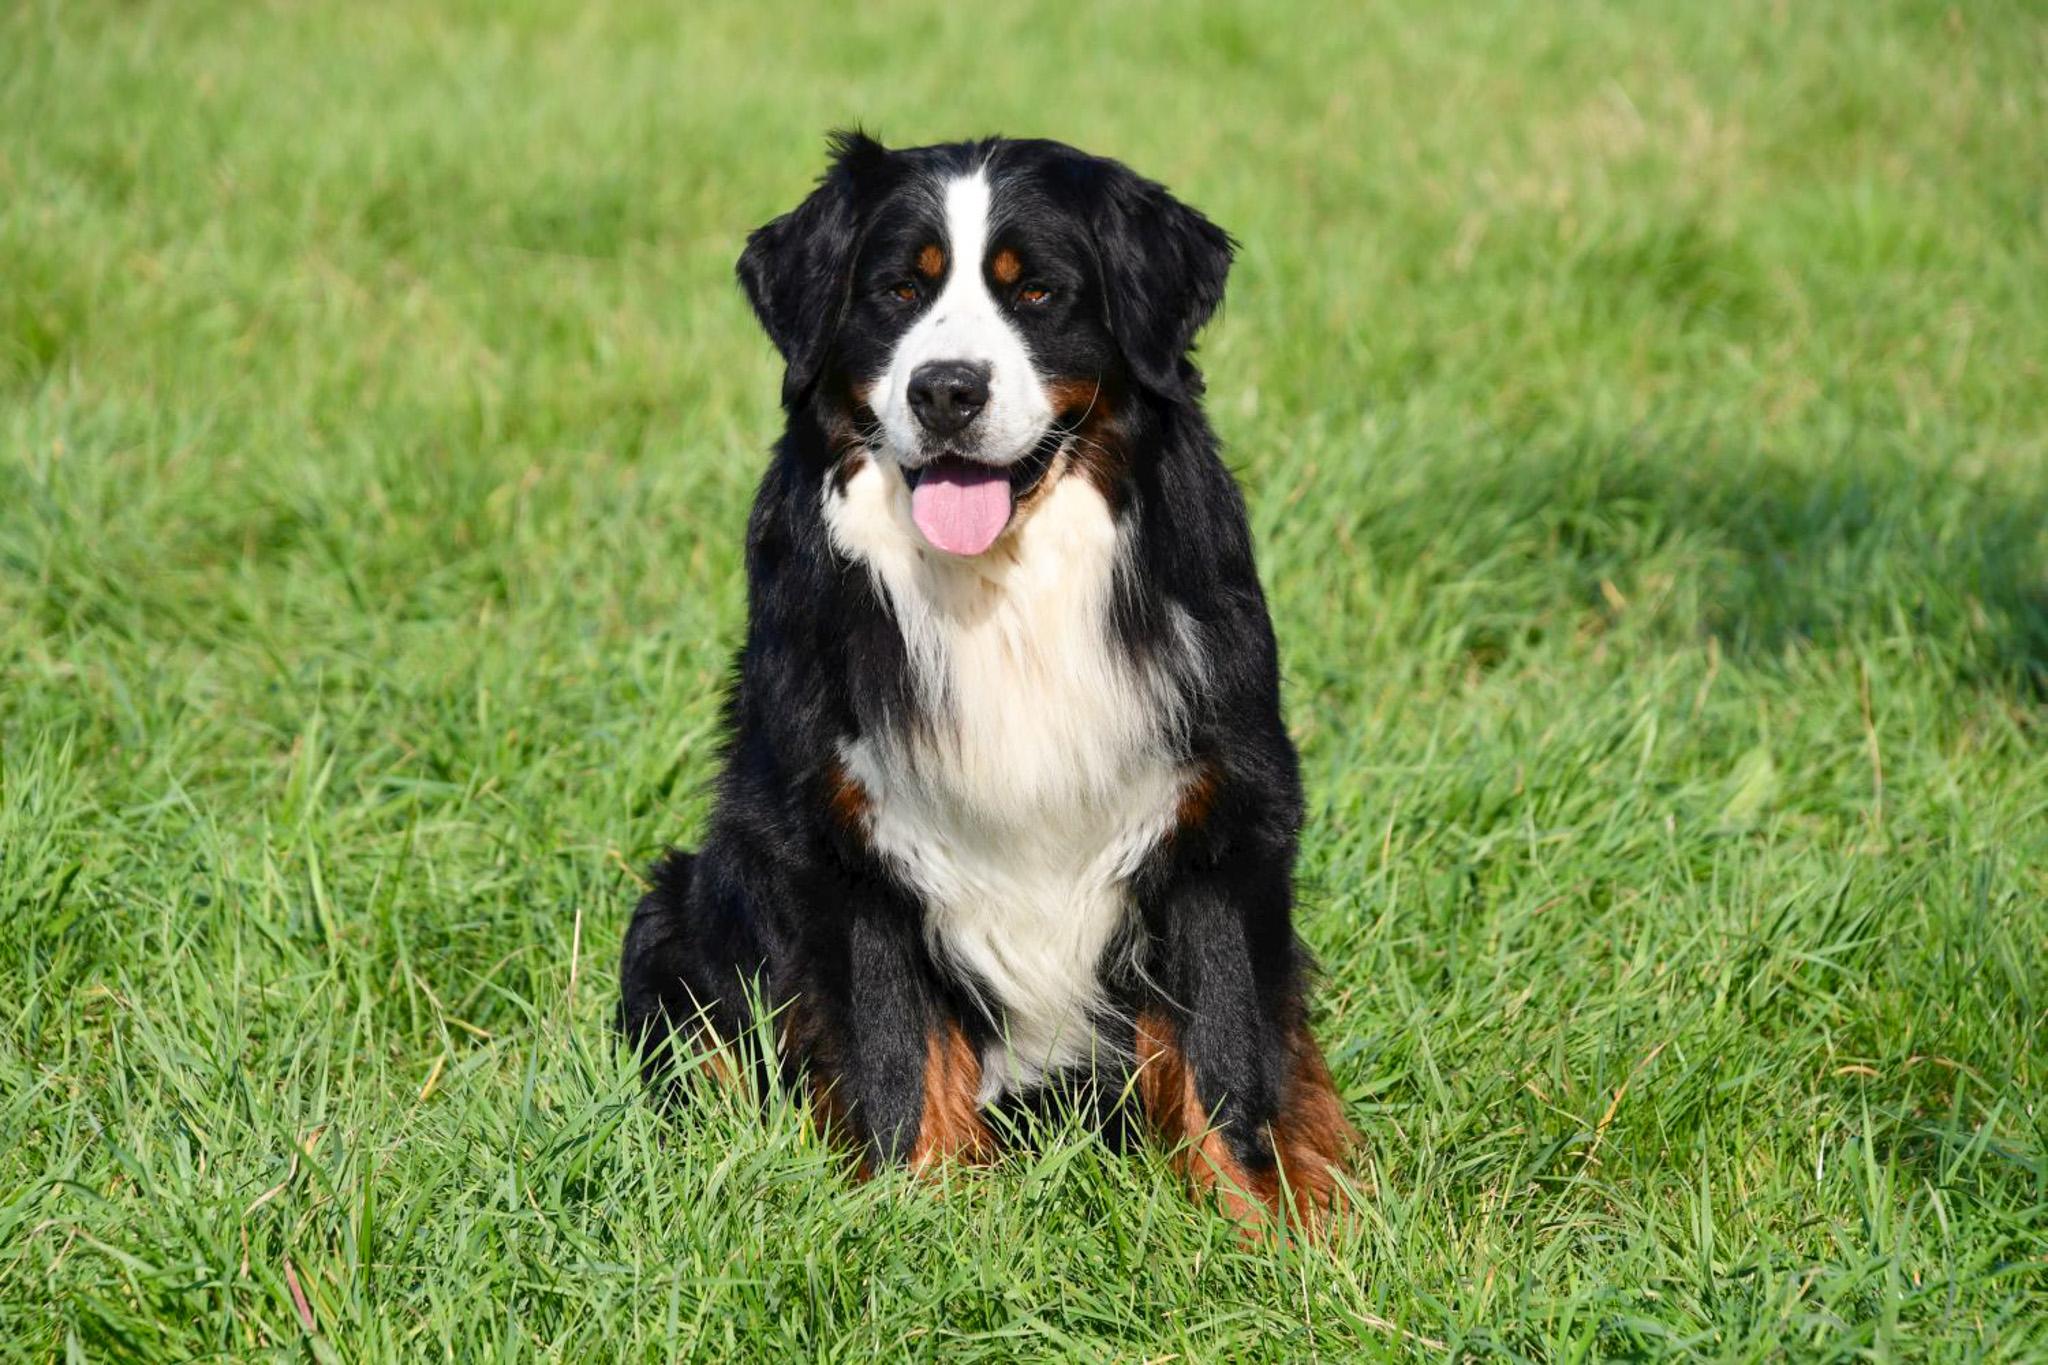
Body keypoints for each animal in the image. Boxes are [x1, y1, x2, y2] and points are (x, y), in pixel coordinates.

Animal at [622, 133, 1359, 1236]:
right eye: (897, 289)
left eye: (1038, 292)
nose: (946, 390)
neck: (1001, 593)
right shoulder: (845, 837)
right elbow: (896, 1060)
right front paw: (914, 1227)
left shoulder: (1214, 819)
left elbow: (1224, 1057)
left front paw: (1266, 1236)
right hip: (675, 915)